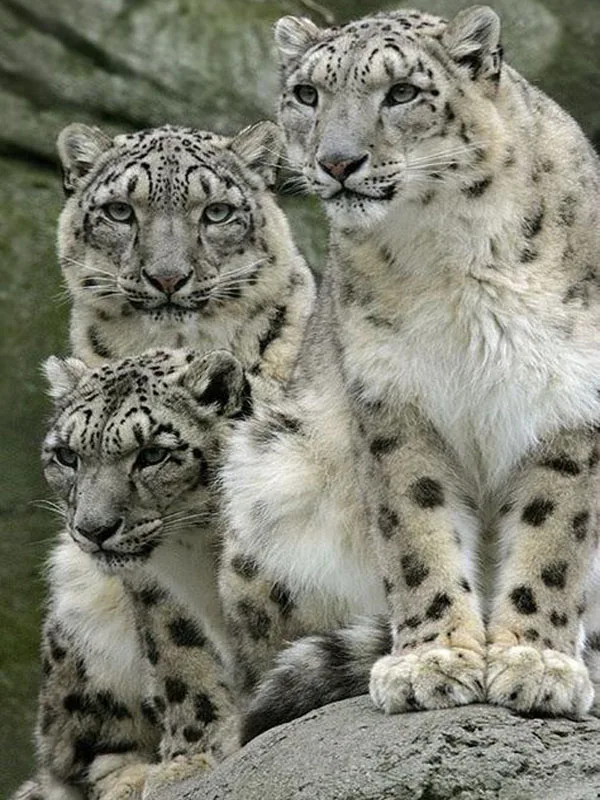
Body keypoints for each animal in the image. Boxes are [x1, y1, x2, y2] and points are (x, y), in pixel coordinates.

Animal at [14, 349, 252, 800]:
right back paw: (129, 779)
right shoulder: (157, 591)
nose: (94, 529)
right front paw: (187, 760)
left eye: (153, 454)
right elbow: (181, 658)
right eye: (67, 455)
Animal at [217, 5, 600, 743]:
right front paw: (433, 661)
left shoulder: (568, 395)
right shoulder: (394, 399)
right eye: (306, 94)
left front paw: (536, 663)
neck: (454, 255)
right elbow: (418, 529)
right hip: (267, 477)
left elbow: (553, 535)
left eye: (400, 92)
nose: (338, 161)